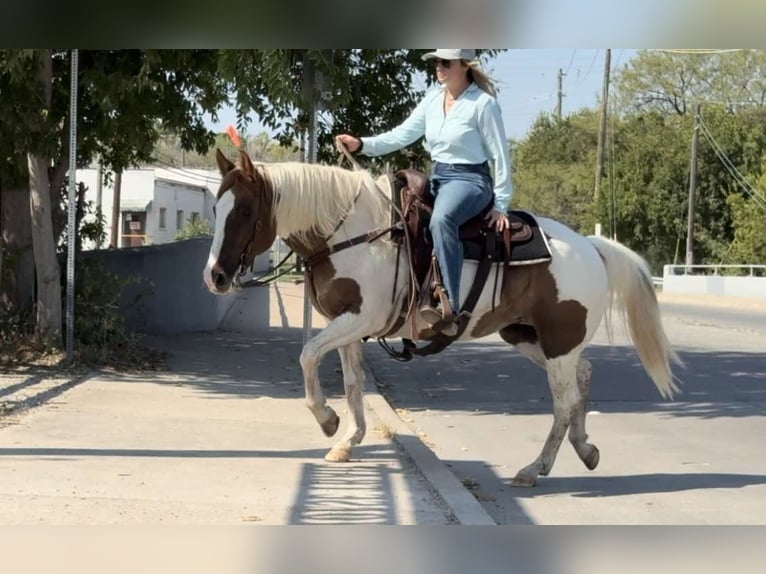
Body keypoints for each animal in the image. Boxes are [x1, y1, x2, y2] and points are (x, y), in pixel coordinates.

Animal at [203, 149, 682, 487]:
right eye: (214, 209)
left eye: (243, 210)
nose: (215, 276)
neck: (351, 233)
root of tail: (591, 247)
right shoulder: (348, 327)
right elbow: (353, 383)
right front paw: (347, 440)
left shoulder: (358, 319)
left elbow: (307, 356)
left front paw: (327, 421)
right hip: (531, 338)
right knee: (583, 376)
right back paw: (585, 450)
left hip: (558, 342)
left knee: (564, 402)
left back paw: (534, 469)